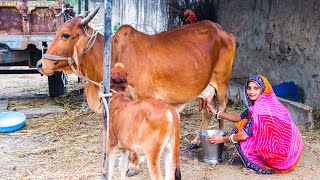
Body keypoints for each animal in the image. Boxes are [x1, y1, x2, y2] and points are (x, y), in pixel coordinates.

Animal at [37, 7, 236, 152]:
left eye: (65, 35)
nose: (40, 64)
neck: (114, 54)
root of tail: (223, 31)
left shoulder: (146, 97)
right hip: (206, 87)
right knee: (208, 111)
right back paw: (196, 141)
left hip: (222, 81)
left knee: (222, 108)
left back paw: (222, 141)